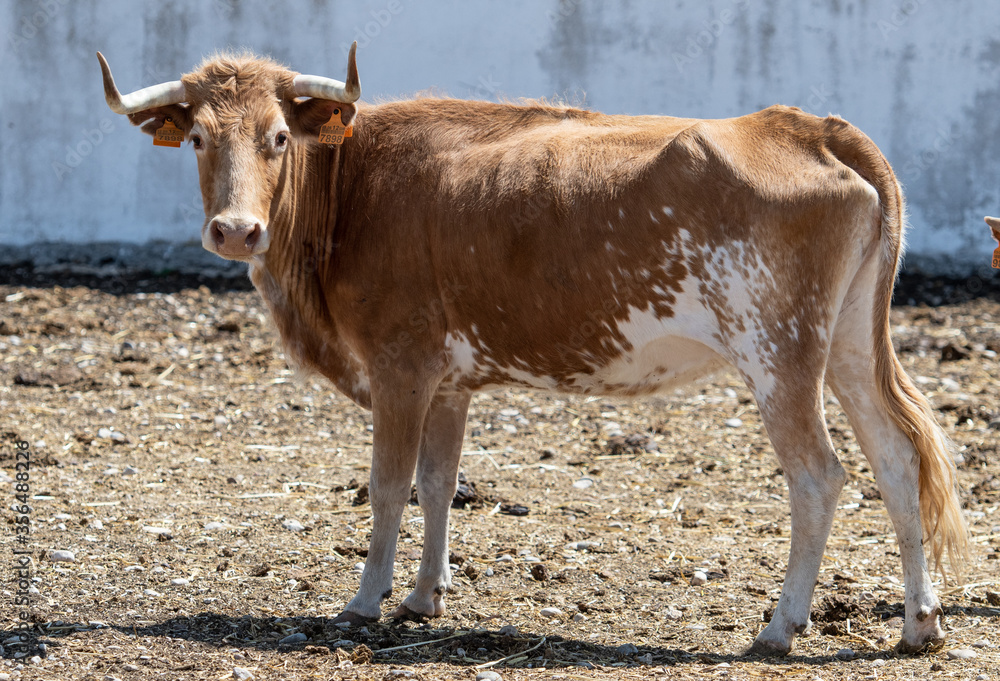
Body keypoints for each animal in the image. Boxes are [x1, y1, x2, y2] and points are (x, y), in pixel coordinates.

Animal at [97, 43, 964, 652]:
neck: (355, 189)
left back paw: (780, 625)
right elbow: (438, 484)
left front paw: (365, 600)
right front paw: (424, 595)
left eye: (279, 136)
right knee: (895, 460)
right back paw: (917, 621)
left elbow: (387, 485)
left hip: (779, 355)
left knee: (819, 476)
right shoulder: (448, 381)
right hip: (847, 345)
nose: (235, 230)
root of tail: (808, 125)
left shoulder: (399, 364)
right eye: (198, 137)